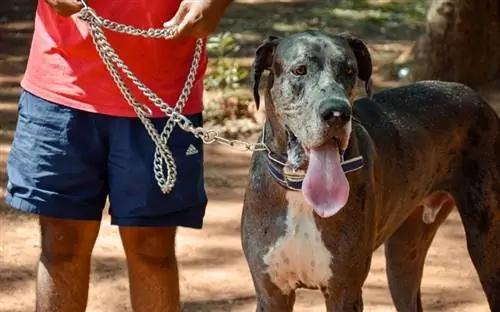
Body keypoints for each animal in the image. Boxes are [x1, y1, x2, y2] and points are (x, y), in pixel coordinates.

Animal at [240, 29, 498, 312]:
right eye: (300, 70)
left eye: (349, 70)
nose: (338, 113)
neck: (299, 191)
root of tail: (476, 97)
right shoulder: (272, 294)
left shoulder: (344, 293)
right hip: (403, 255)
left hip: (487, 246)